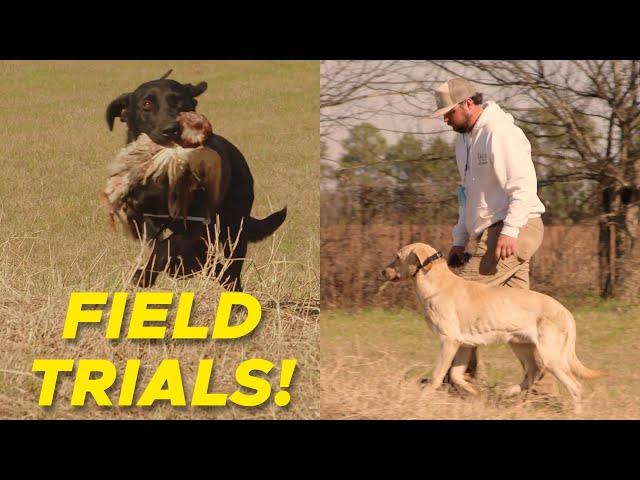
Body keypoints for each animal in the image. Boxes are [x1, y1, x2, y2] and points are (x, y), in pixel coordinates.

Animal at [106, 73, 286, 290]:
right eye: (146, 104)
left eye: (179, 101)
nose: (171, 130)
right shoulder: (142, 218)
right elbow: (160, 241)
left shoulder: (197, 222)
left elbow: (168, 245)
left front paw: (145, 276)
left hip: (234, 228)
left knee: (231, 267)